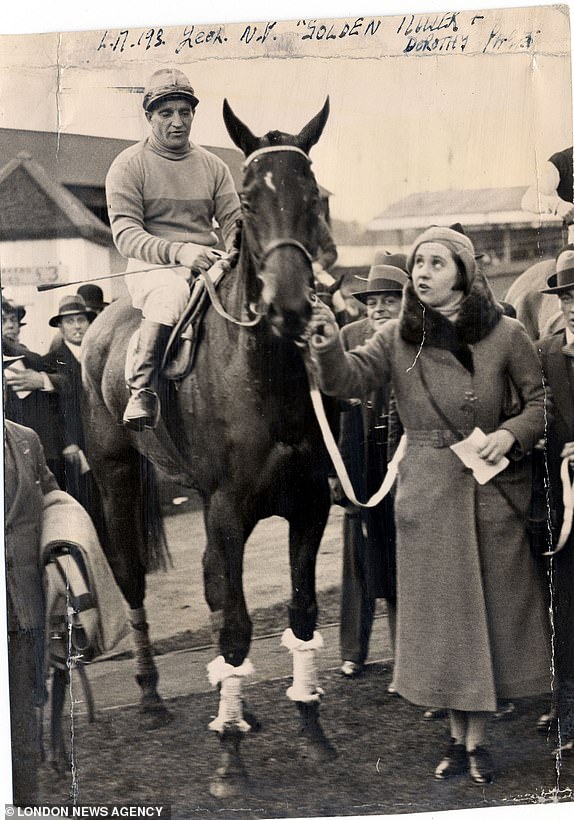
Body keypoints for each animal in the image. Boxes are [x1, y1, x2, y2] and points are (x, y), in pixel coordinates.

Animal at [83, 97, 340, 796]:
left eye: (316, 194)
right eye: (249, 199)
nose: (288, 305)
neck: (263, 376)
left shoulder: (309, 503)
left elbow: (301, 613)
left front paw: (310, 729)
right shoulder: (226, 507)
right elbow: (235, 625)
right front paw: (229, 761)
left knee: (213, 584)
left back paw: (239, 706)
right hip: (116, 476)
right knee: (132, 578)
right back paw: (150, 695)